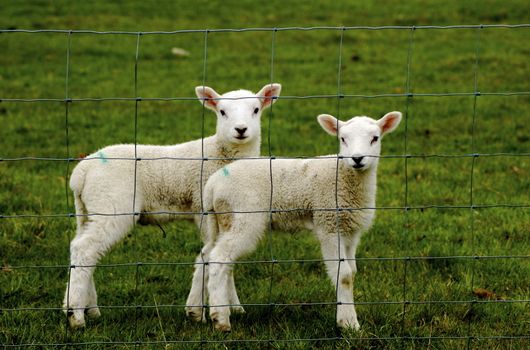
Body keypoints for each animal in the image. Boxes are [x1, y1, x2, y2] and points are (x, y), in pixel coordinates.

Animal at [62, 82, 280, 328]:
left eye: (256, 109)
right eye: (222, 112)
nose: (241, 130)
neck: (221, 155)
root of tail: (81, 172)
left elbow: (227, 262)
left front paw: (234, 307)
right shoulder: (203, 208)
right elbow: (213, 255)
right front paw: (206, 309)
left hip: (88, 210)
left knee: (79, 248)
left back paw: (87, 308)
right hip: (111, 206)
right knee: (85, 250)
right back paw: (76, 316)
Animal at [188, 109, 398, 330]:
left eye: (375, 138)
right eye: (343, 138)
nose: (357, 159)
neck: (343, 176)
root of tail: (212, 184)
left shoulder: (350, 230)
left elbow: (353, 271)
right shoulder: (329, 224)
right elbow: (345, 276)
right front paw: (348, 323)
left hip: (221, 220)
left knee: (205, 256)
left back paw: (195, 311)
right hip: (243, 216)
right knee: (219, 258)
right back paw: (220, 319)